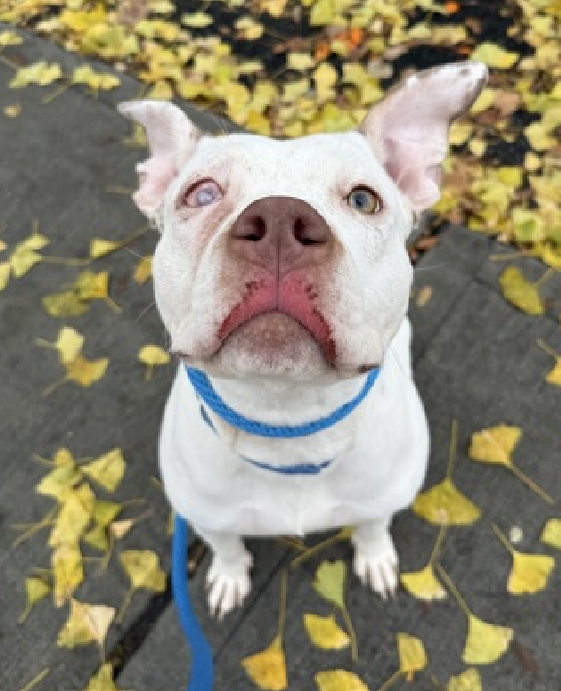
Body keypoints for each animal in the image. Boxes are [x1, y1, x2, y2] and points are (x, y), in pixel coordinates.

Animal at [119, 61, 487, 618]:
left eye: (364, 199)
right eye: (202, 194)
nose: (278, 221)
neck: (286, 419)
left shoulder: (382, 499)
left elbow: (372, 527)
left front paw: (375, 558)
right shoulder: (208, 516)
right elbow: (227, 545)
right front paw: (229, 577)